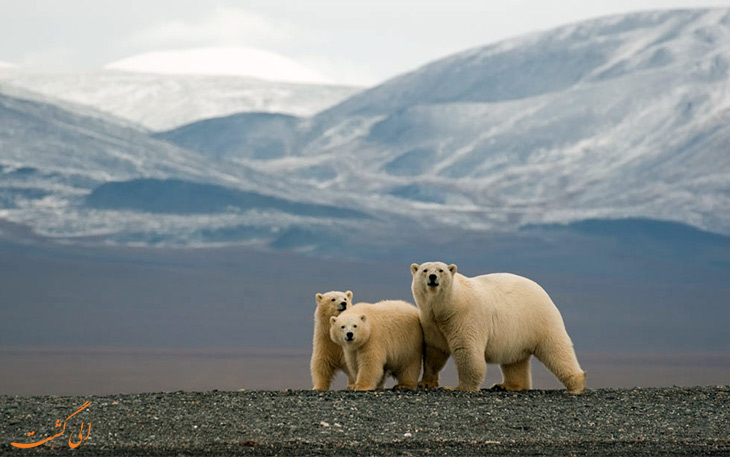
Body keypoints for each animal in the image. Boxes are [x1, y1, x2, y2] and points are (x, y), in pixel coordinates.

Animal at [410, 262, 584, 394]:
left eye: (441, 270)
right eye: (425, 270)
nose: (433, 277)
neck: (449, 305)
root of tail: (543, 291)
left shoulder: (465, 317)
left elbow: (467, 350)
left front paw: (459, 387)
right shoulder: (431, 322)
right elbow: (434, 351)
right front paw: (425, 382)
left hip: (539, 319)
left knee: (556, 350)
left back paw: (576, 386)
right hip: (517, 332)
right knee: (515, 361)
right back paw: (507, 385)